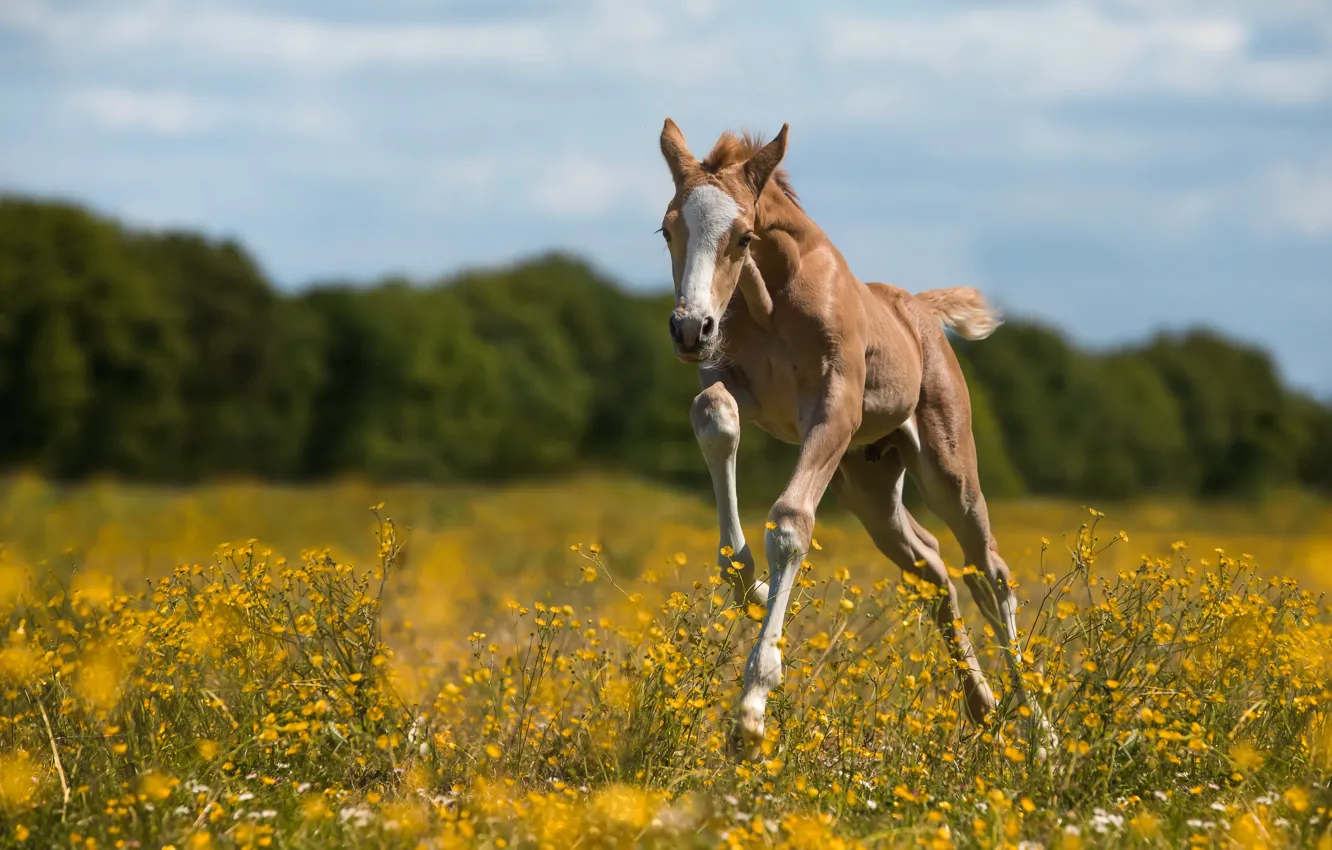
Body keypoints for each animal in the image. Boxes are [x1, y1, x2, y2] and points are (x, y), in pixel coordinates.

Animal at [657, 118, 1052, 760]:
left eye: (742, 237)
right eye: (667, 229)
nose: (691, 328)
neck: (772, 301)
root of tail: (921, 310)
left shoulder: (834, 410)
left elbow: (791, 522)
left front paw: (751, 711)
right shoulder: (735, 383)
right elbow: (714, 414)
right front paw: (755, 589)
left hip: (945, 466)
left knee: (989, 572)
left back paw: (1040, 735)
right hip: (868, 483)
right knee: (932, 567)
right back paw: (986, 708)